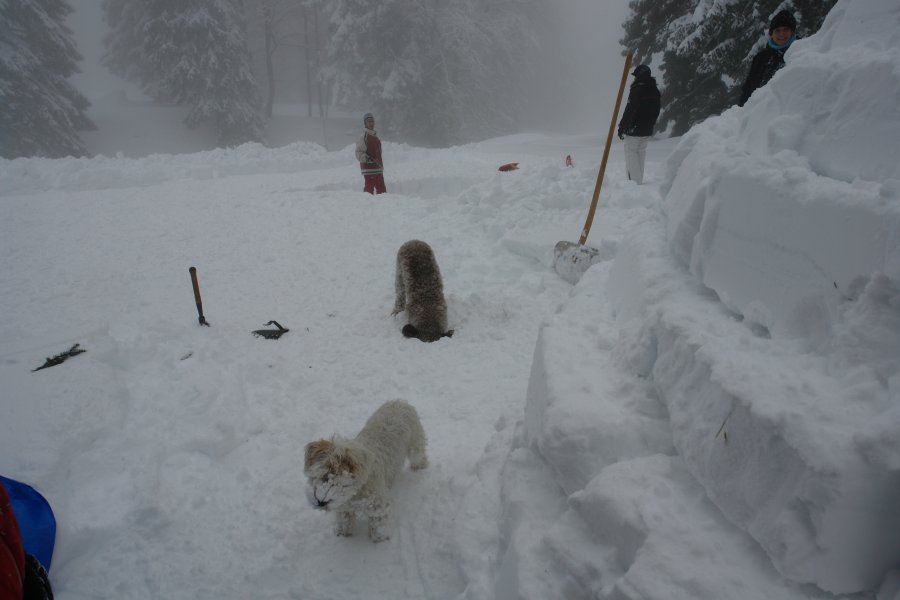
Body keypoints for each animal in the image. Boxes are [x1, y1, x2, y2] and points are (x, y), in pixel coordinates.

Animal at [304, 400, 428, 540]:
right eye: (319, 476)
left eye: (341, 482)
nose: (320, 502)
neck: (356, 492)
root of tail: (400, 401)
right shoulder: (344, 507)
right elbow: (344, 521)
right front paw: (342, 535)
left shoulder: (378, 507)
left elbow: (378, 528)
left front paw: (380, 540)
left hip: (415, 445)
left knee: (420, 457)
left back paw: (419, 468)